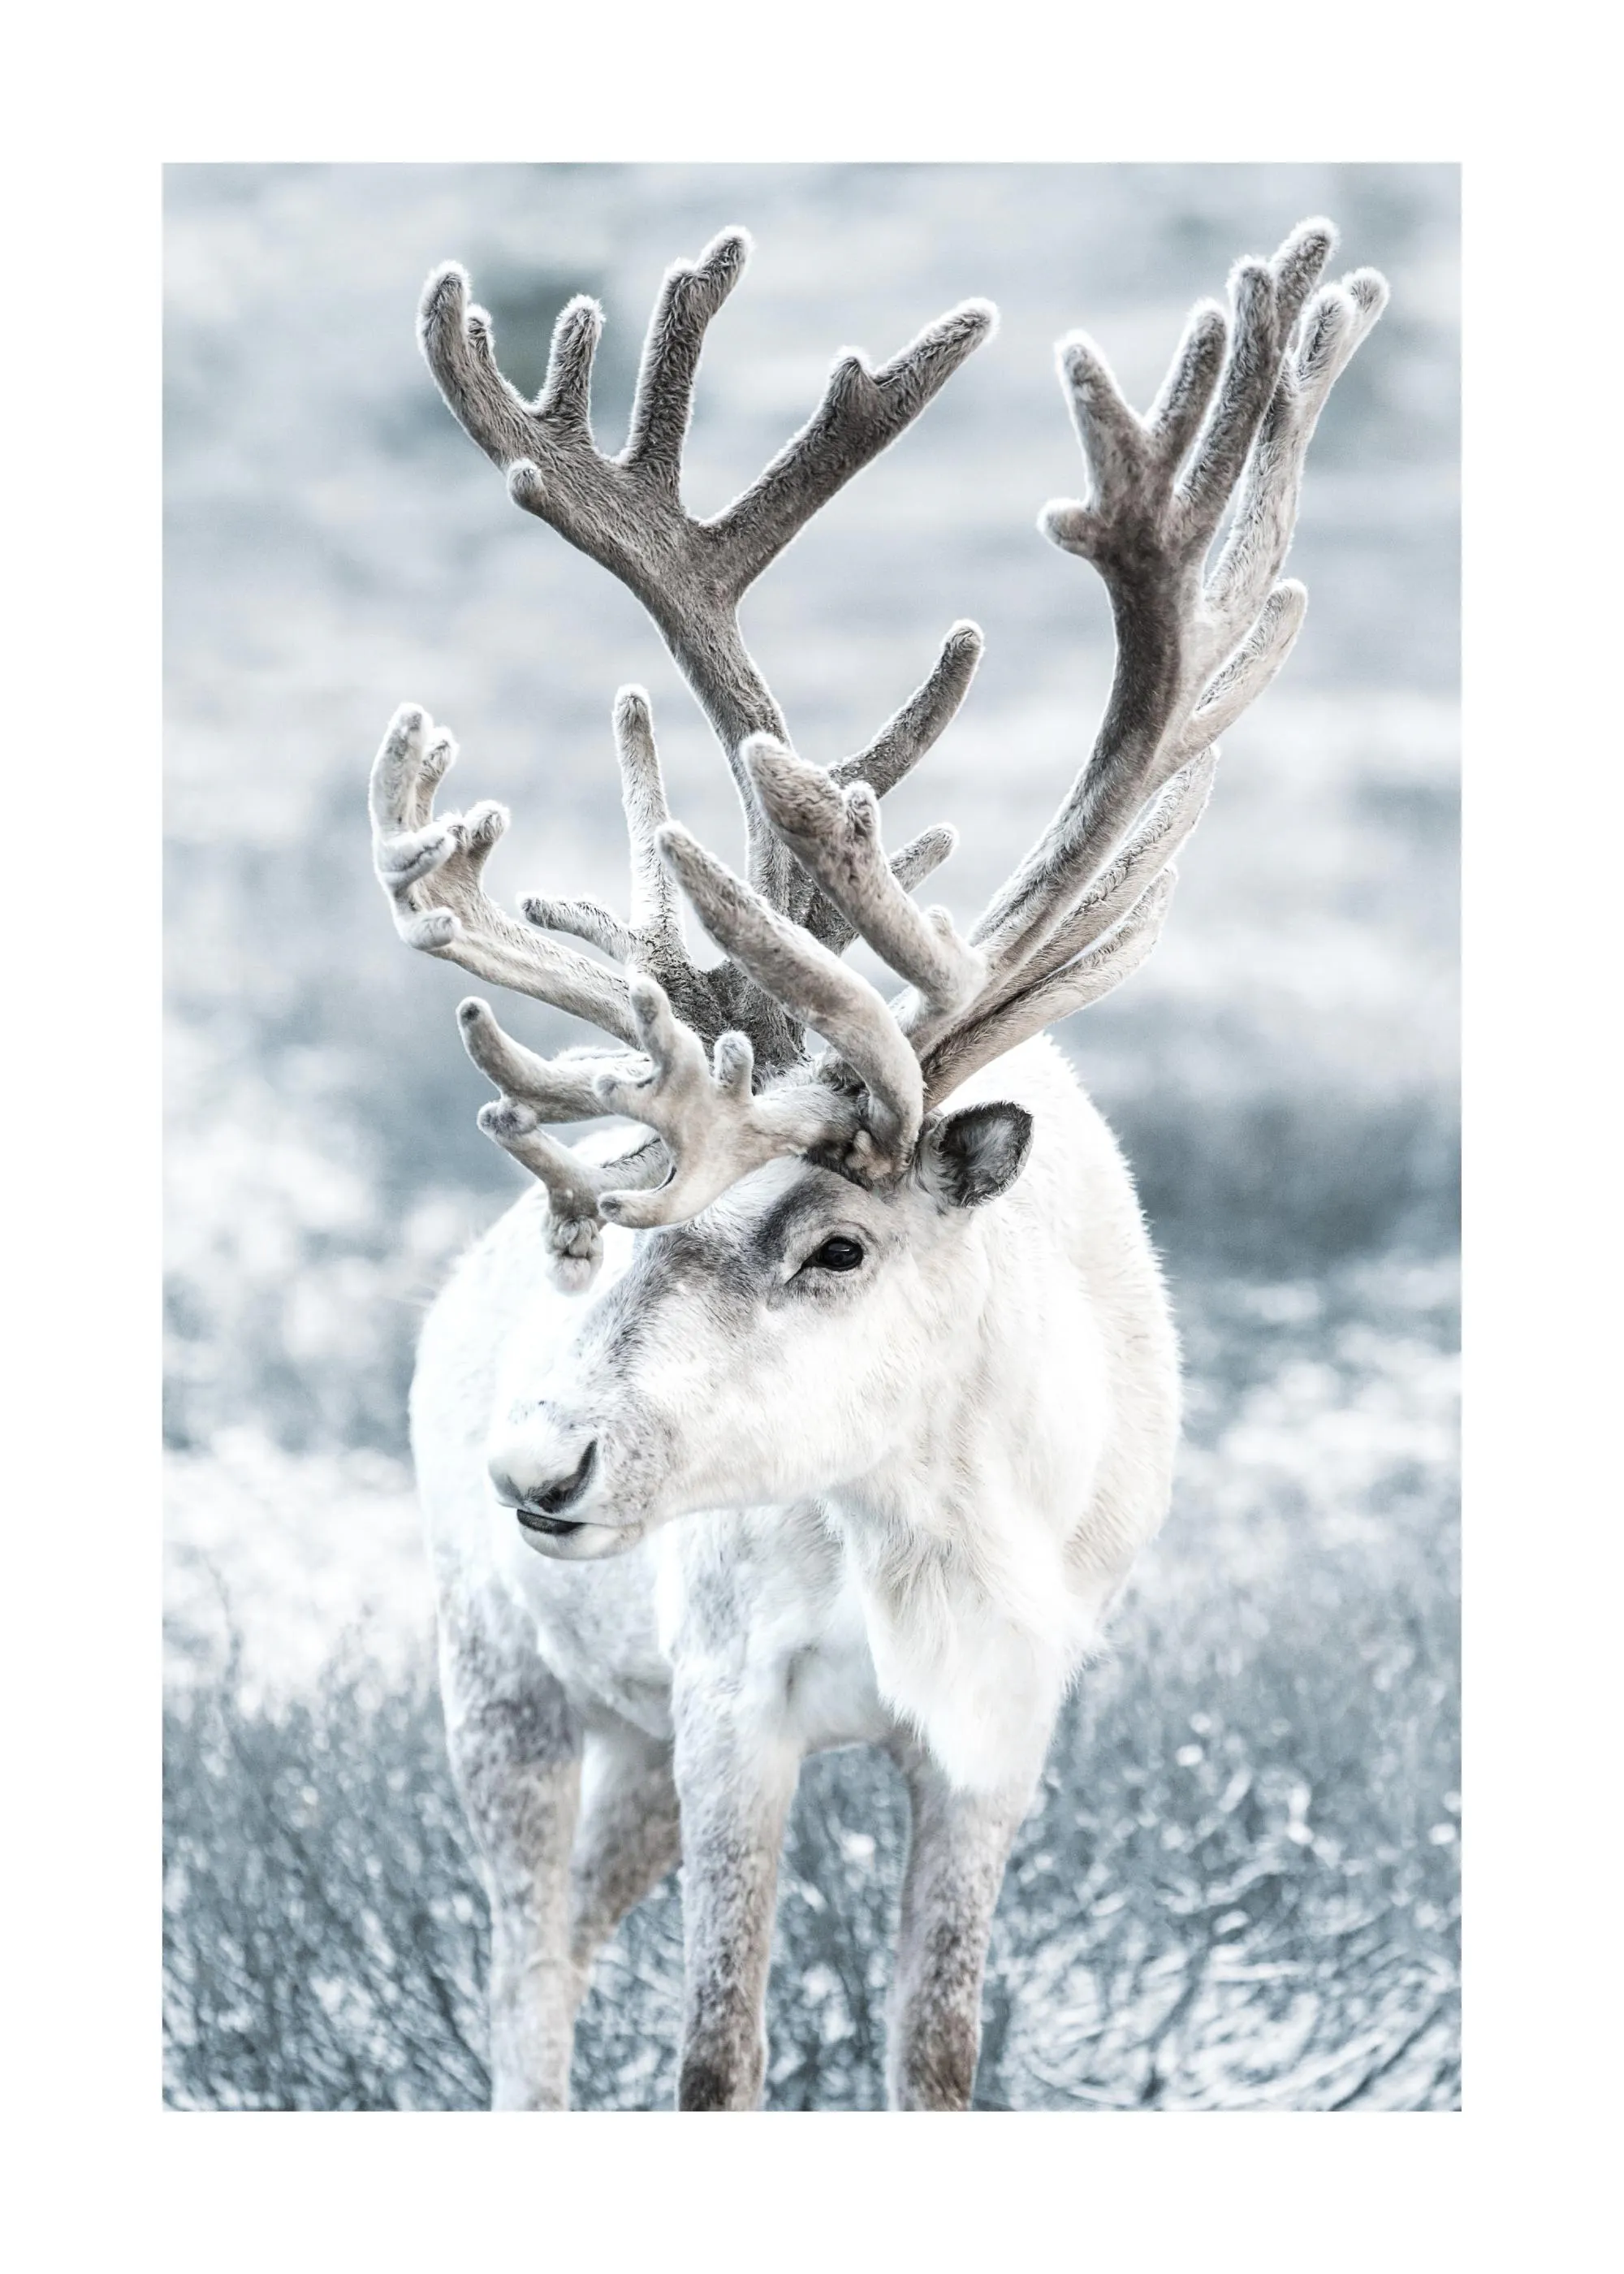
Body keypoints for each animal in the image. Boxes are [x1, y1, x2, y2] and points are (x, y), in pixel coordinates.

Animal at [368, 212, 1386, 2111]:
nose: (541, 1461)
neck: (930, 1525)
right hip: (509, 1678)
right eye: (627, 1233)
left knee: (567, 1941)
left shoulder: (998, 1735)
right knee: (524, 1987)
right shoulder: (725, 1698)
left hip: (620, 1744)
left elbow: (939, 2053)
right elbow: (714, 2060)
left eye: (837, 1243)